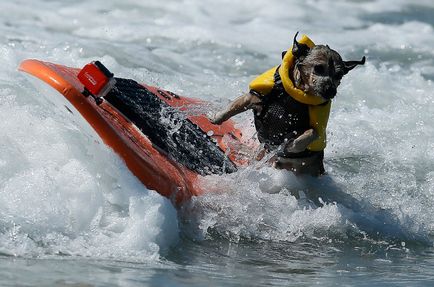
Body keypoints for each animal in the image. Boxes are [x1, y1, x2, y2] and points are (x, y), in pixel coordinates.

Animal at [210, 31, 366, 176]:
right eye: (318, 68)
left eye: (339, 75)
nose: (331, 91)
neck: (295, 95)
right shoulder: (256, 98)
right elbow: (234, 105)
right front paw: (217, 117)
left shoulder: (316, 129)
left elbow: (311, 133)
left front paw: (291, 145)